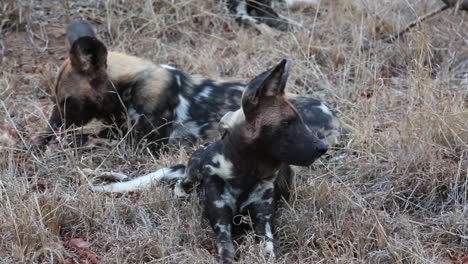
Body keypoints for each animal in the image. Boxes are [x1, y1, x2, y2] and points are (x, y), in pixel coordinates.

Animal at [36, 19, 340, 153]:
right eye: (56, 101)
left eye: (66, 102)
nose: (48, 133)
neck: (127, 85)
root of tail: (335, 116)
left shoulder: (141, 142)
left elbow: (88, 136)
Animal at [91, 59, 326, 262]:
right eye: (287, 123)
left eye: (301, 121)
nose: (323, 148)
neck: (247, 173)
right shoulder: (221, 223)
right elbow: (226, 250)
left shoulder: (263, 220)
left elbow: (268, 249)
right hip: (195, 161)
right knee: (181, 182)